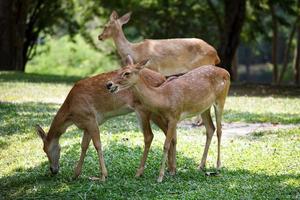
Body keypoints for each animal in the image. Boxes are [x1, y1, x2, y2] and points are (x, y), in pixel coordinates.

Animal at [35, 65, 177, 181]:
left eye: (46, 149)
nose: (53, 170)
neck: (71, 113)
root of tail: (163, 77)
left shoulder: (90, 118)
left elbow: (97, 144)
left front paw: (103, 175)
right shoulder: (86, 124)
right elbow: (84, 146)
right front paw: (75, 174)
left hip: (145, 109)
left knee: (151, 135)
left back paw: (144, 172)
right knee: (170, 133)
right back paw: (171, 169)